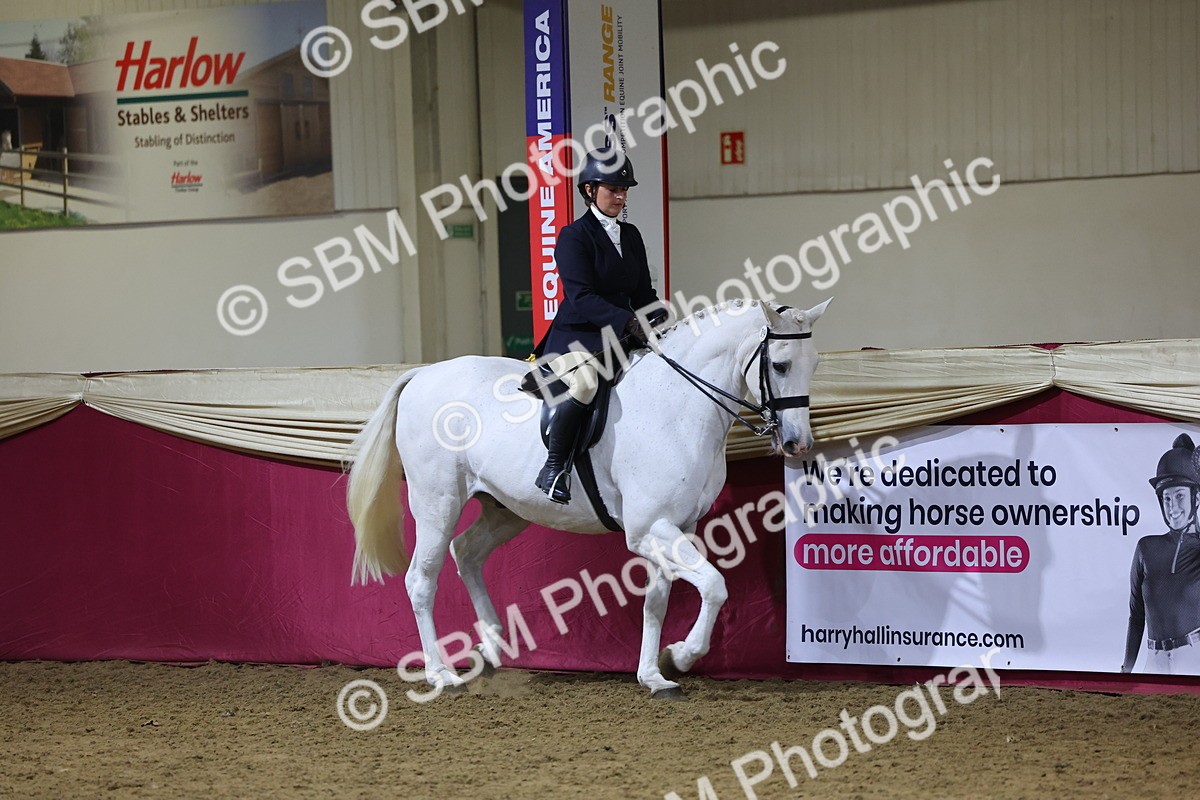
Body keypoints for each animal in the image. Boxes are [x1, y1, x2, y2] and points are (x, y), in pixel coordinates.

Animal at [346, 298, 830, 698]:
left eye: (815, 365)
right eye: (781, 366)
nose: (798, 443)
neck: (678, 406)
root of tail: (423, 373)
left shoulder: (676, 526)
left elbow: (657, 599)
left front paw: (654, 676)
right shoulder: (650, 528)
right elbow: (714, 585)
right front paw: (682, 655)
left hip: (506, 510)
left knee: (466, 551)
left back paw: (494, 648)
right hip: (437, 502)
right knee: (422, 579)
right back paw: (440, 674)